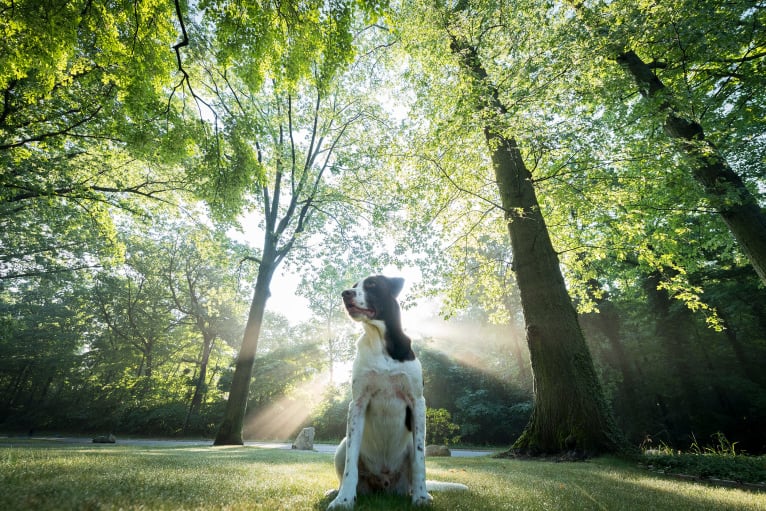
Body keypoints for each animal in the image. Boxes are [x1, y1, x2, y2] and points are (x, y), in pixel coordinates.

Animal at [328, 274, 464, 510]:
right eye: (354, 286)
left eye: (371, 284)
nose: (345, 293)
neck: (380, 341)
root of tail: (384, 485)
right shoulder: (357, 404)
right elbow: (350, 466)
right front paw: (343, 500)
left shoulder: (417, 403)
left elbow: (420, 461)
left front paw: (421, 497)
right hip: (342, 445)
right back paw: (337, 491)